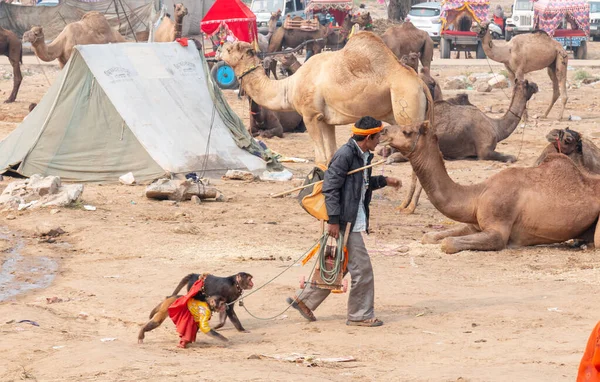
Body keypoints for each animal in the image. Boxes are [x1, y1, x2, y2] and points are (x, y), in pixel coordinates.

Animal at [219, 32, 432, 164]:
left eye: (230, 50)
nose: (220, 47)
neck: (290, 85)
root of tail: (420, 84)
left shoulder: (310, 115)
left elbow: (320, 158)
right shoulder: (326, 120)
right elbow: (331, 155)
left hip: (407, 104)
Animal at [382, 121, 600, 254]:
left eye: (407, 132)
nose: (383, 131)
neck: (477, 195)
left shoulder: (498, 230)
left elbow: (448, 243)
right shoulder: (474, 224)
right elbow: (429, 236)